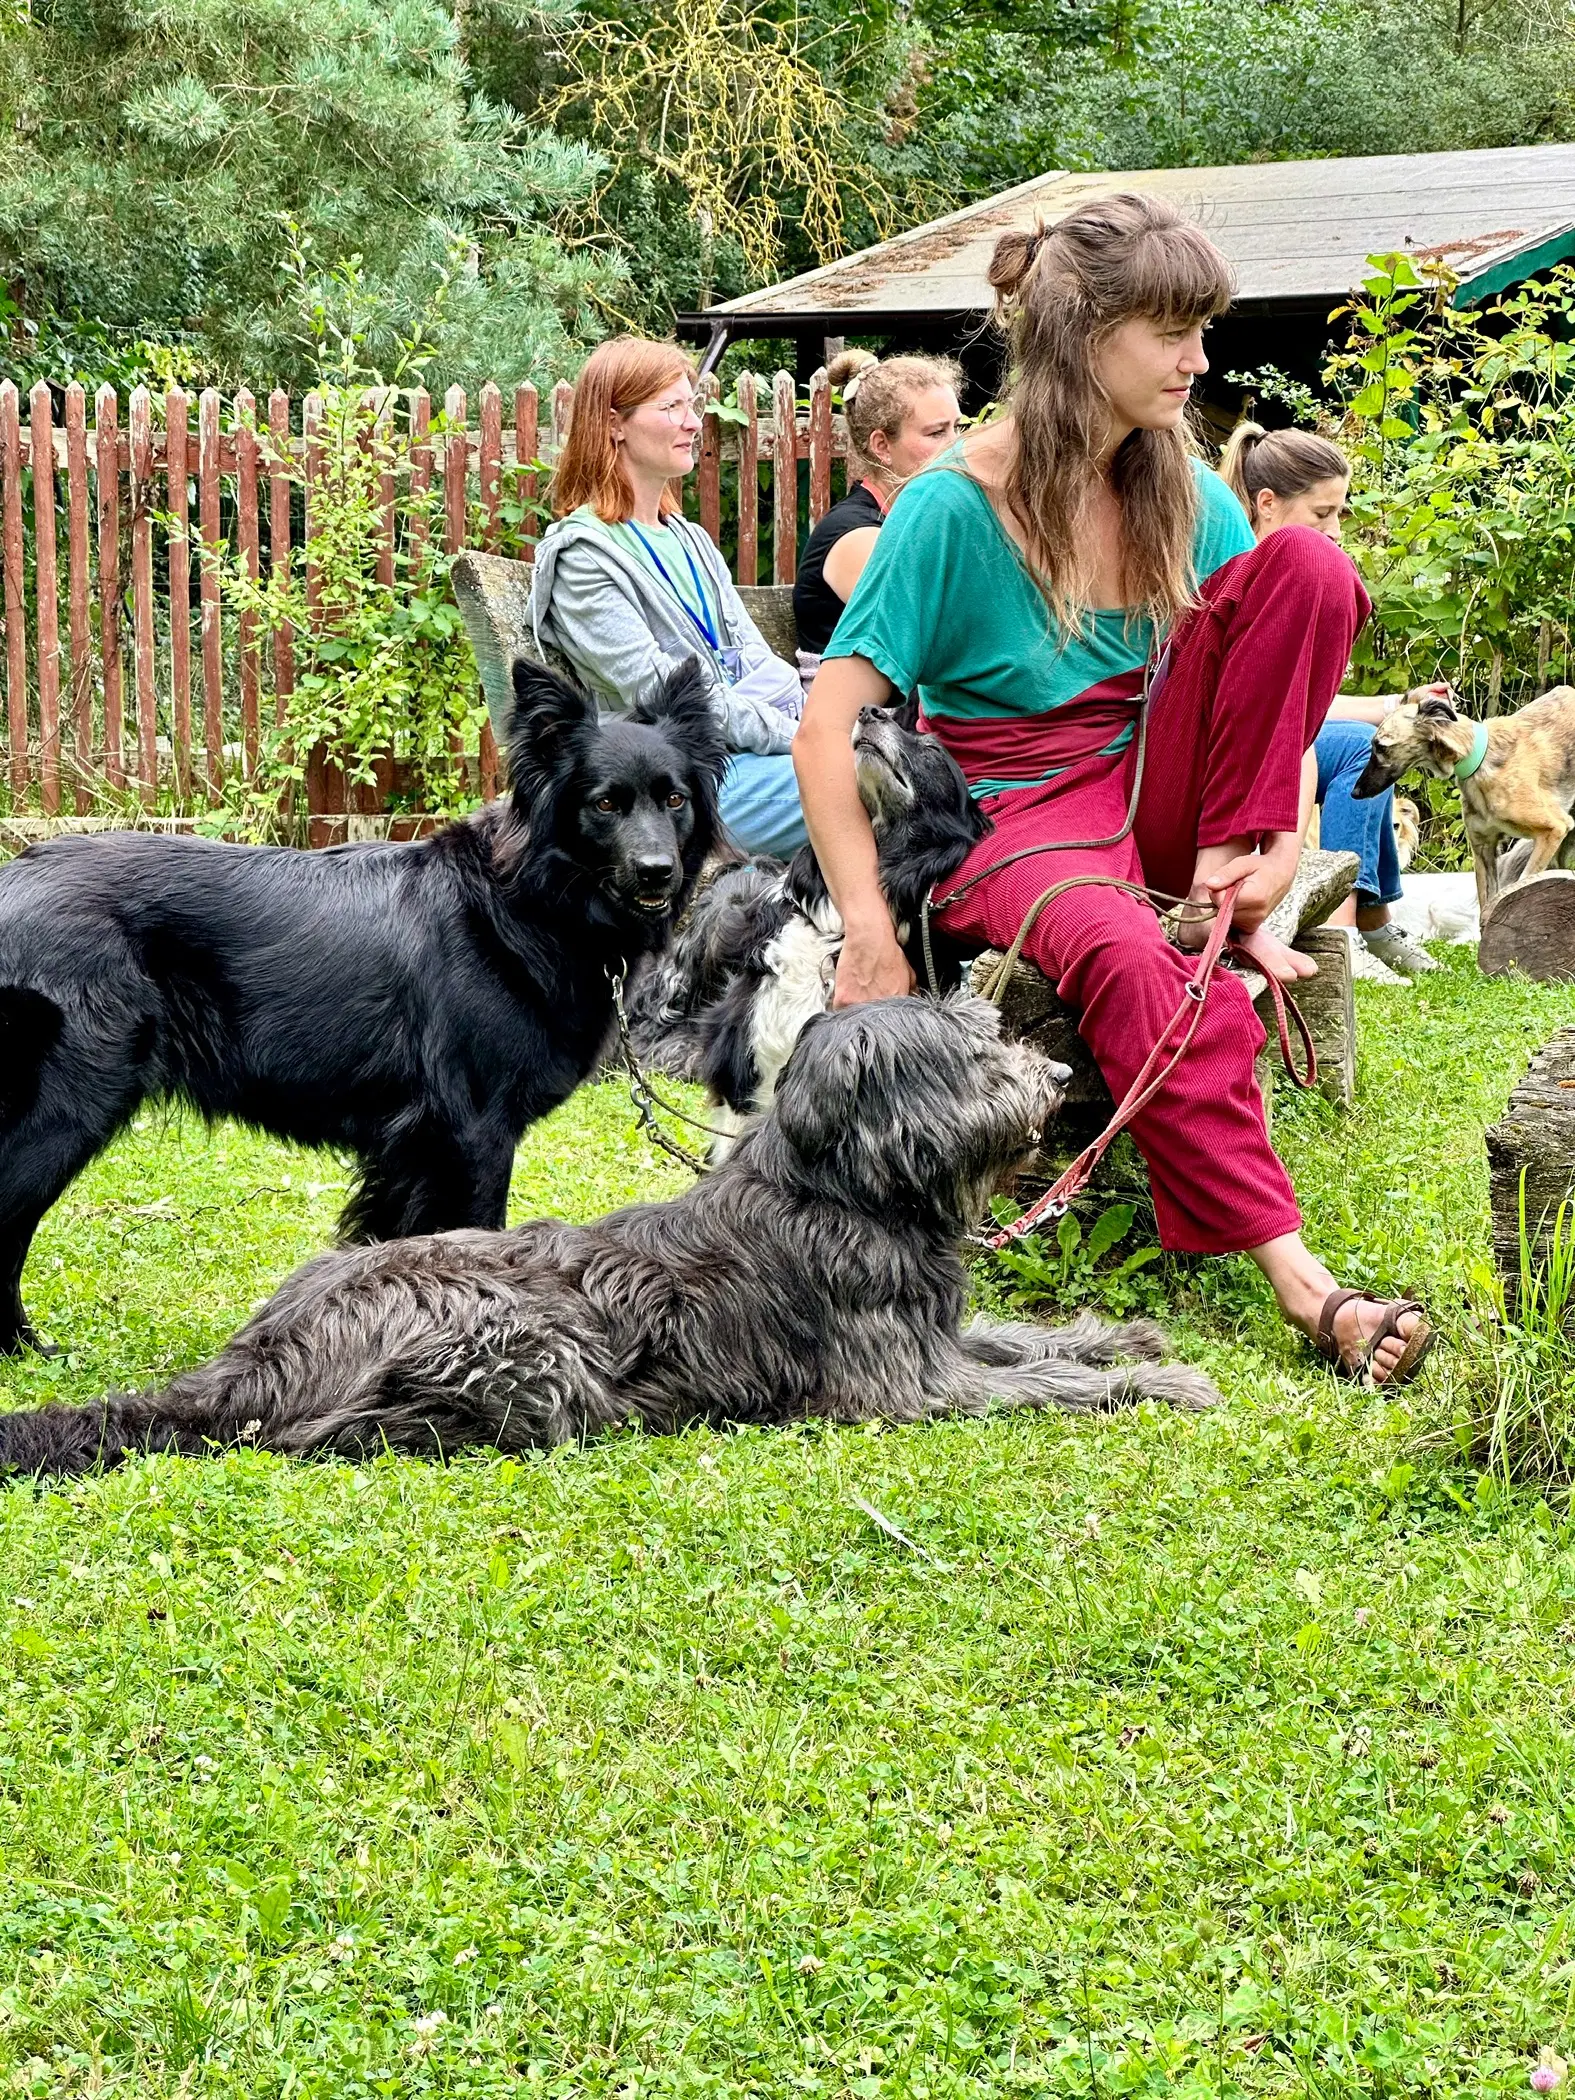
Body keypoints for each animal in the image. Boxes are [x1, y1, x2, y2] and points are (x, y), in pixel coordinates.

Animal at [0, 646, 726, 1360]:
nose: (658, 873)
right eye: (604, 803)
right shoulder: (475, 1134)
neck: (524, 902)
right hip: (67, 1108)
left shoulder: (413, 1151)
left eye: (673, 799)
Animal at [0, 999, 1218, 1478]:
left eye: (993, 1033)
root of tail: (266, 1348)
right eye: (971, 1058)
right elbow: (1041, 1384)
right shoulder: (907, 1388)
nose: (1054, 1077)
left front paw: (1126, 1342)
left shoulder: (936, 1338)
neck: (845, 1191)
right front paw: (1157, 1384)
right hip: (529, 1351)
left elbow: (1032, 1342)